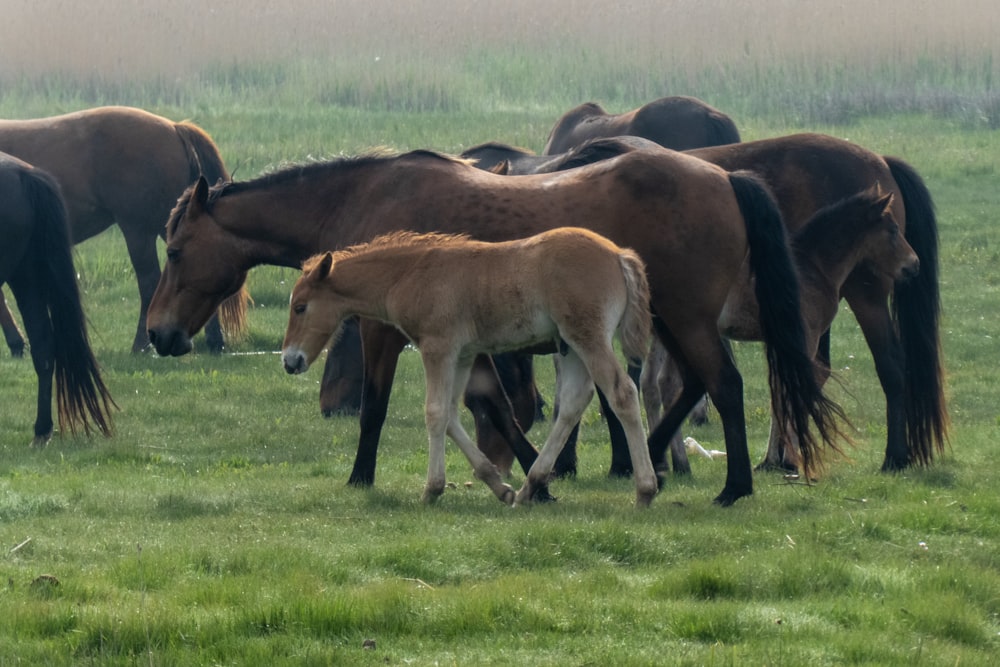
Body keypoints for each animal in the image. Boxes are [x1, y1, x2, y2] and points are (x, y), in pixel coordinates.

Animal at [282, 228, 656, 506]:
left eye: (300, 307)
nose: (289, 360)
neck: (410, 273)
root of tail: (618, 254)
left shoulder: (438, 347)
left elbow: (434, 412)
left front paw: (432, 489)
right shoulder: (462, 355)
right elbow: (450, 414)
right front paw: (498, 485)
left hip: (588, 338)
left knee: (622, 393)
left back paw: (645, 491)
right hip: (571, 345)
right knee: (574, 403)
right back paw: (530, 486)